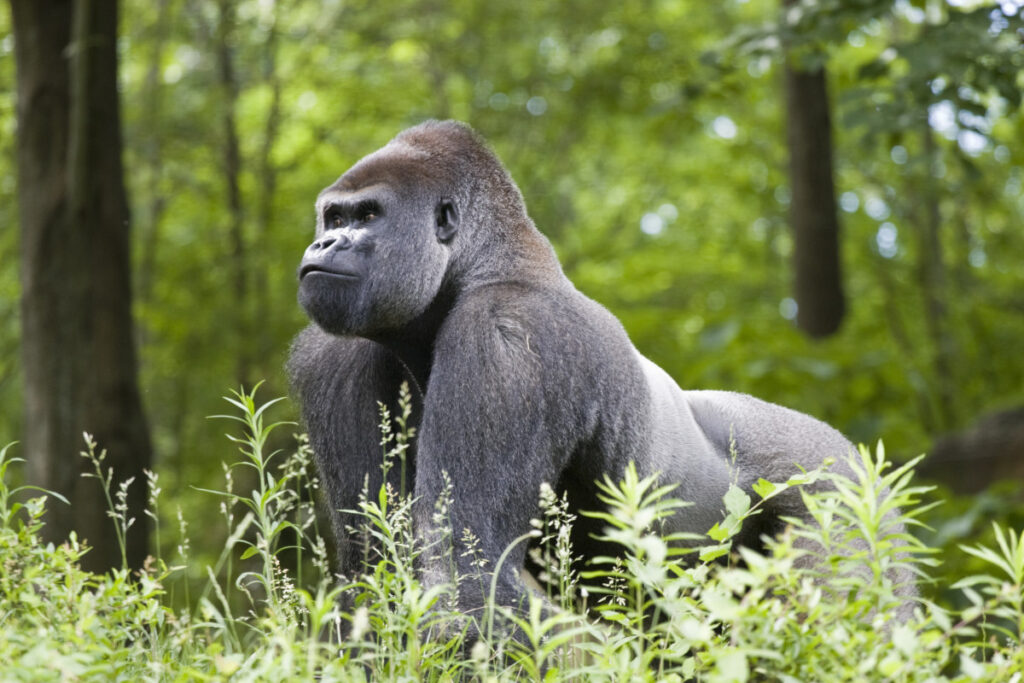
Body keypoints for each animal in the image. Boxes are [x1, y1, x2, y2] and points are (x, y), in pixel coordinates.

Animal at [287, 120, 916, 635]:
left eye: (368, 216)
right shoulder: (335, 357)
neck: (481, 268)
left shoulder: (507, 336)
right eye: (334, 217)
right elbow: (377, 572)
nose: (324, 242)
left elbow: (468, 577)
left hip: (841, 489)